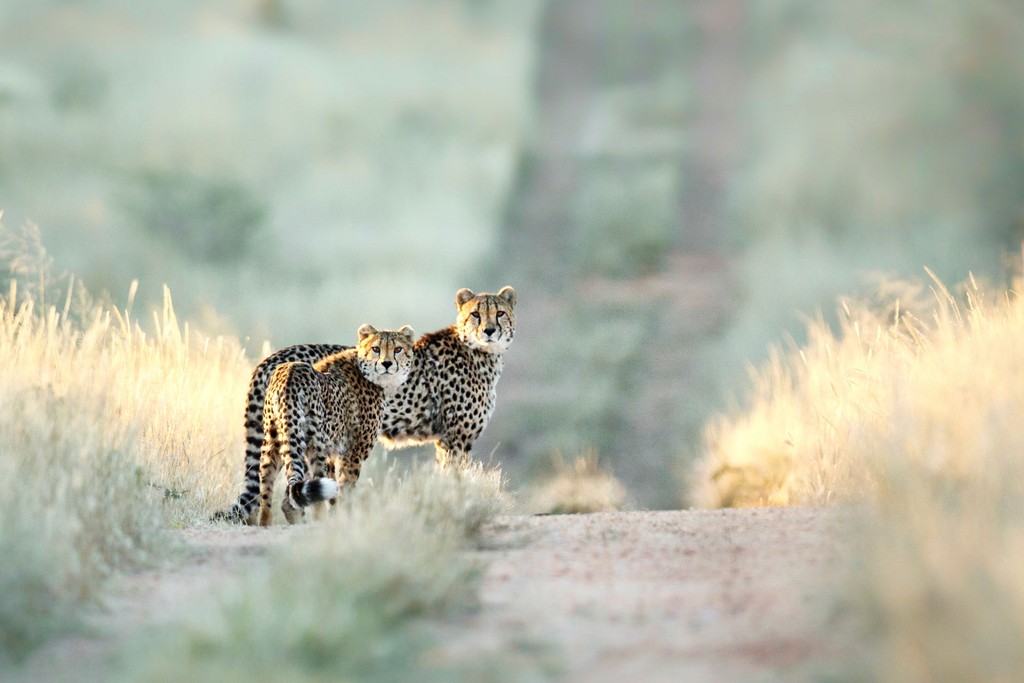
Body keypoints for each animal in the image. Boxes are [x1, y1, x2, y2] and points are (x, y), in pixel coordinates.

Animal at [217, 284, 520, 524]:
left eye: (500, 313)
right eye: (476, 314)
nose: (489, 331)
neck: (482, 353)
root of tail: (273, 358)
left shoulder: (447, 439)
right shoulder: (455, 439)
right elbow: (452, 479)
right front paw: (453, 505)